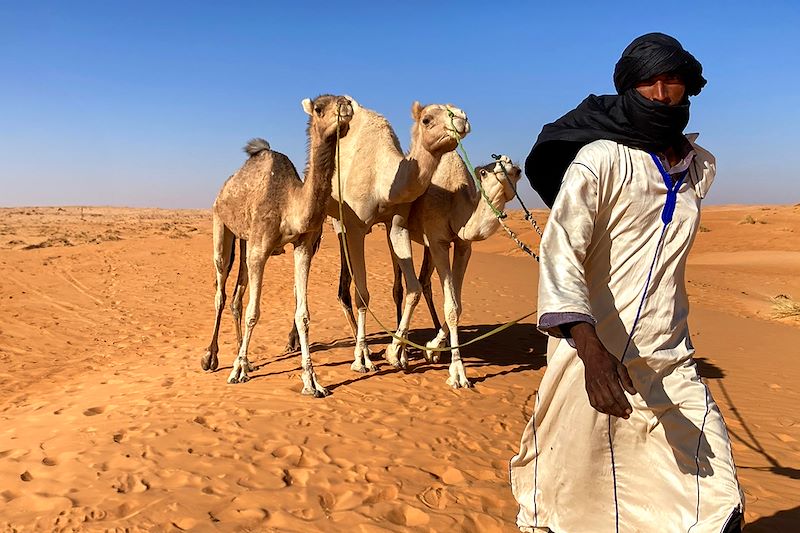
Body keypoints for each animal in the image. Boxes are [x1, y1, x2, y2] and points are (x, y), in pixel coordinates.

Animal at [200, 95, 354, 394]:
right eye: (320, 108)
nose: (347, 105)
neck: (290, 203)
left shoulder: (304, 246)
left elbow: (302, 314)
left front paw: (312, 381)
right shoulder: (260, 249)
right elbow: (253, 312)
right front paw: (236, 371)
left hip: (245, 241)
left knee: (236, 296)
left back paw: (245, 358)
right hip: (221, 225)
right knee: (220, 292)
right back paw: (212, 358)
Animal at [320, 96, 468, 370]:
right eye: (427, 119)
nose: (462, 118)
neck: (383, 177)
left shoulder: (397, 224)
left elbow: (413, 288)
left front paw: (398, 353)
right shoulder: (355, 228)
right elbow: (362, 294)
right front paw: (362, 359)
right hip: (334, 223)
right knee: (341, 286)